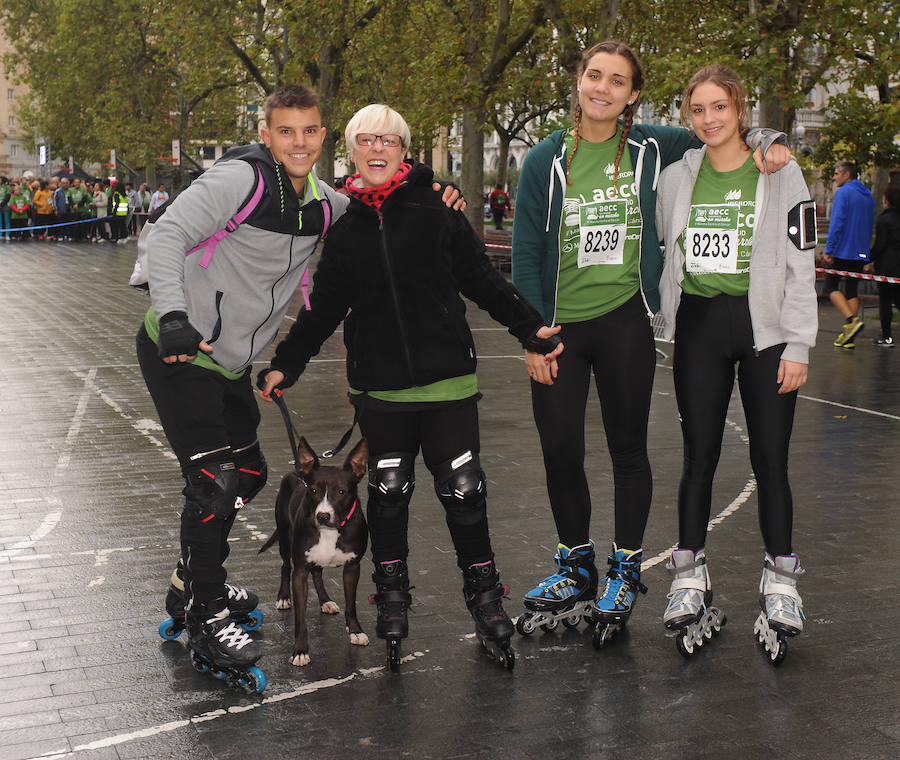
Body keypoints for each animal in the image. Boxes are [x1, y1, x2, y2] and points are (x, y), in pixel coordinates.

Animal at [260, 440, 370, 664]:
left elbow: (351, 605)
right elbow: (300, 619)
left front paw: (355, 631)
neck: (331, 530)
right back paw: (283, 597)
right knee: (285, 566)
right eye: (313, 491)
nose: (323, 516)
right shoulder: (300, 572)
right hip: (285, 537)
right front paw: (300, 650)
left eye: (341, 492)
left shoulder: (353, 567)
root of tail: (296, 470)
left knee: (318, 573)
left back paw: (325, 601)